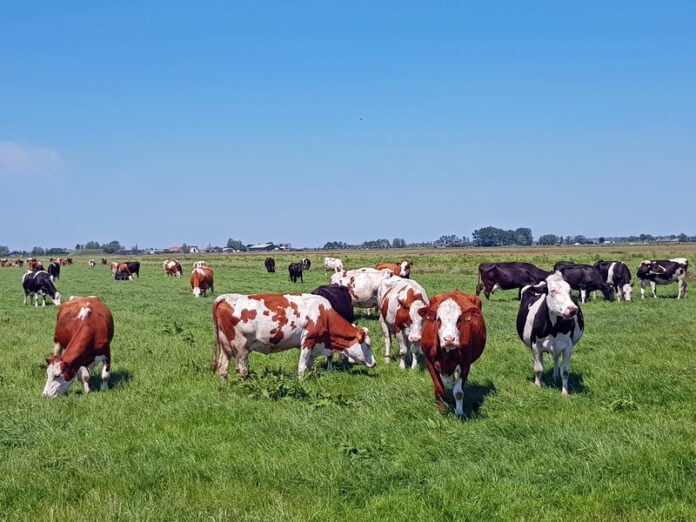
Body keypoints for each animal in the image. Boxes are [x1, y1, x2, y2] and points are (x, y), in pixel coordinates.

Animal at [211, 290, 378, 380]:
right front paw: (301, 382)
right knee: (242, 370)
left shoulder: (315, 345)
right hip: (241, 348)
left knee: (223, 368)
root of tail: (225, 298)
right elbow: (302, 366)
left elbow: (309, 365)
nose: (375, 363)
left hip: (225, 347)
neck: (324, 314)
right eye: (368, 345)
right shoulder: (308, 340)